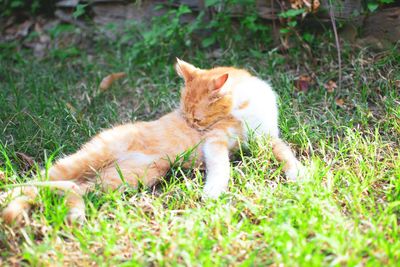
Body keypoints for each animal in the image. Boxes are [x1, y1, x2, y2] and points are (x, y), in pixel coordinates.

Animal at [0, 59, 306, 226]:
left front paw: (298, 174)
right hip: (87, 160)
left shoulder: (268, 138)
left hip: (126, 179)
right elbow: (221, 167)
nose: (189, 124)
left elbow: (286, 153)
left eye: (195, 117)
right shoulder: (215, 141)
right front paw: (213, 192)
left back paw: (75, 214)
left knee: (71, 188)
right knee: (36, 182)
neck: (244, 107)